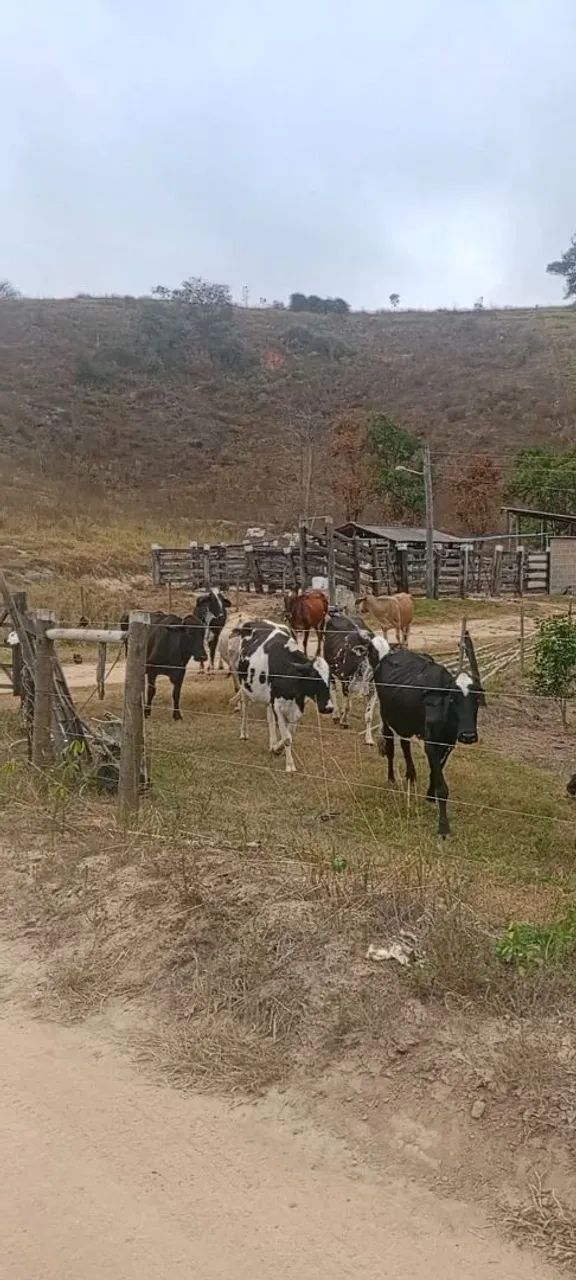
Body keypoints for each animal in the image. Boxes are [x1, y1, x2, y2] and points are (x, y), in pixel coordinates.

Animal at [235, 620, 333, 772]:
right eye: (313, 678)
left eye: (330, 679)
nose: (328, 708)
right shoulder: (278, 706)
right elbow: (287, 738)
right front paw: (289, 765)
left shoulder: (297, 707)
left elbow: (289, 734)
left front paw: (276, 748)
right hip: (244, 686)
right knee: (245, 709)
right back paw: (244, 733)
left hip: (268, 697)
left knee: (269, 718)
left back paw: (272, 742)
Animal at [323, 612, 389, 746]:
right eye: (374, 653)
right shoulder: (346, 683)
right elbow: (347, 705)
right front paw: (344, 721)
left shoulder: (373, 689)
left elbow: (368, 715)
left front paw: (368, 738)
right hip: (331, 670)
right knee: (333, 690)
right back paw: (336, 714)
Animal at [369, 632, 485, 837]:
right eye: (452, 698)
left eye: (477, 699)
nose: (468, 736)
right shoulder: (430, 743)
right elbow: (442, 787)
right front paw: (443, 827)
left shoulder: (448, 743)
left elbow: (436, 769)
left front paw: (430, 795)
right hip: (386, 716)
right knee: (390, 746)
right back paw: (392, 778)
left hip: (405, 720)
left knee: (405, 744)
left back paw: (411, 775)